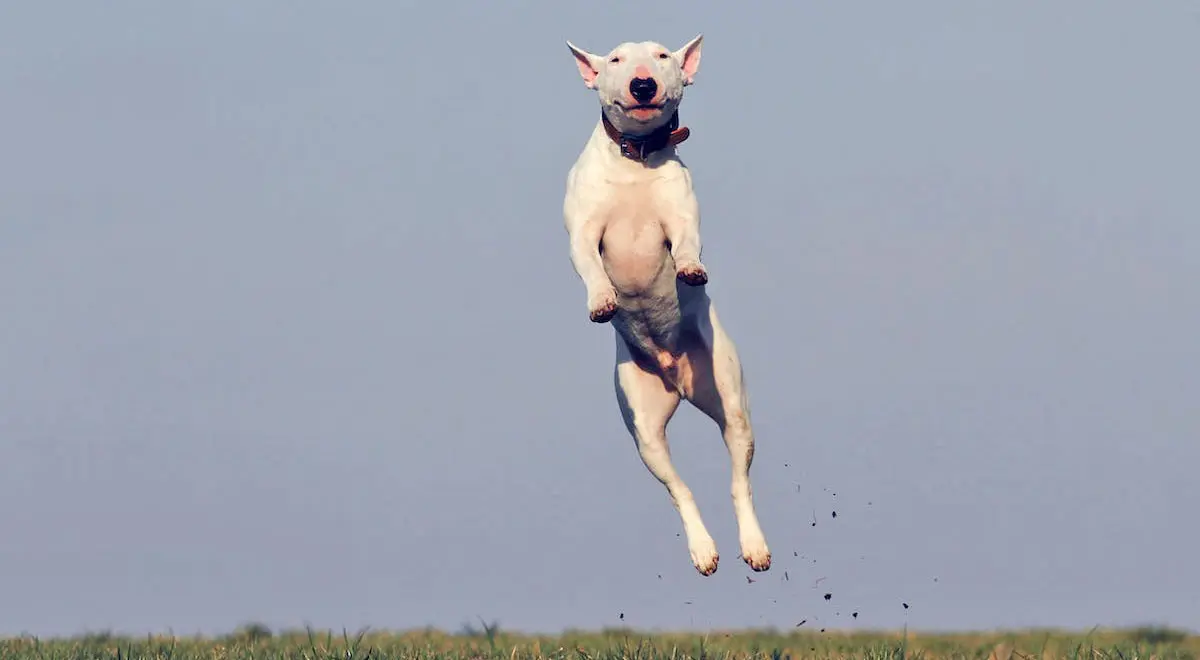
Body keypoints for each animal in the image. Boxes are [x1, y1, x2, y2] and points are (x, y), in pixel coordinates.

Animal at [559, 36, 768, 576]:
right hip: (644, 431)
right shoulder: (583, 232)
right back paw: (703, 549)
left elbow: (687, 244)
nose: (642, 84)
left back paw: (752, 547)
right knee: (679, 488)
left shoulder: (681, 218)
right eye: (615, 59)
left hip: (730, 401)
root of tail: (677, 377)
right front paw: (603, 301)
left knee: (739, 481)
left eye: (661, 57)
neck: (635, 162)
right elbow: (589, 265)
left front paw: (690, 271)